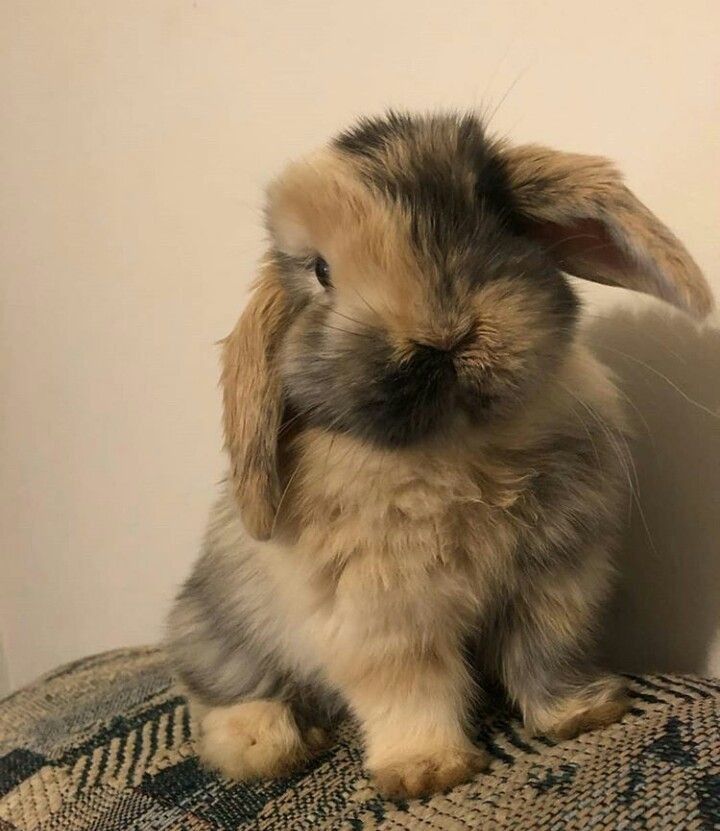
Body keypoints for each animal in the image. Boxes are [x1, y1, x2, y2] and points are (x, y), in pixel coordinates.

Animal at [166, 112, 712, 800]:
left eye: (492, 212)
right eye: (320, 272)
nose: (443, 335)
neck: (458, 450)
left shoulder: (556, 583)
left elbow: (548, 656)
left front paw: (584, 714)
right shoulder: (386, 619)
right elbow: (412, 691)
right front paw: (426, 772)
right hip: (220, 639)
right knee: (215, 699)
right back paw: (271, 744)